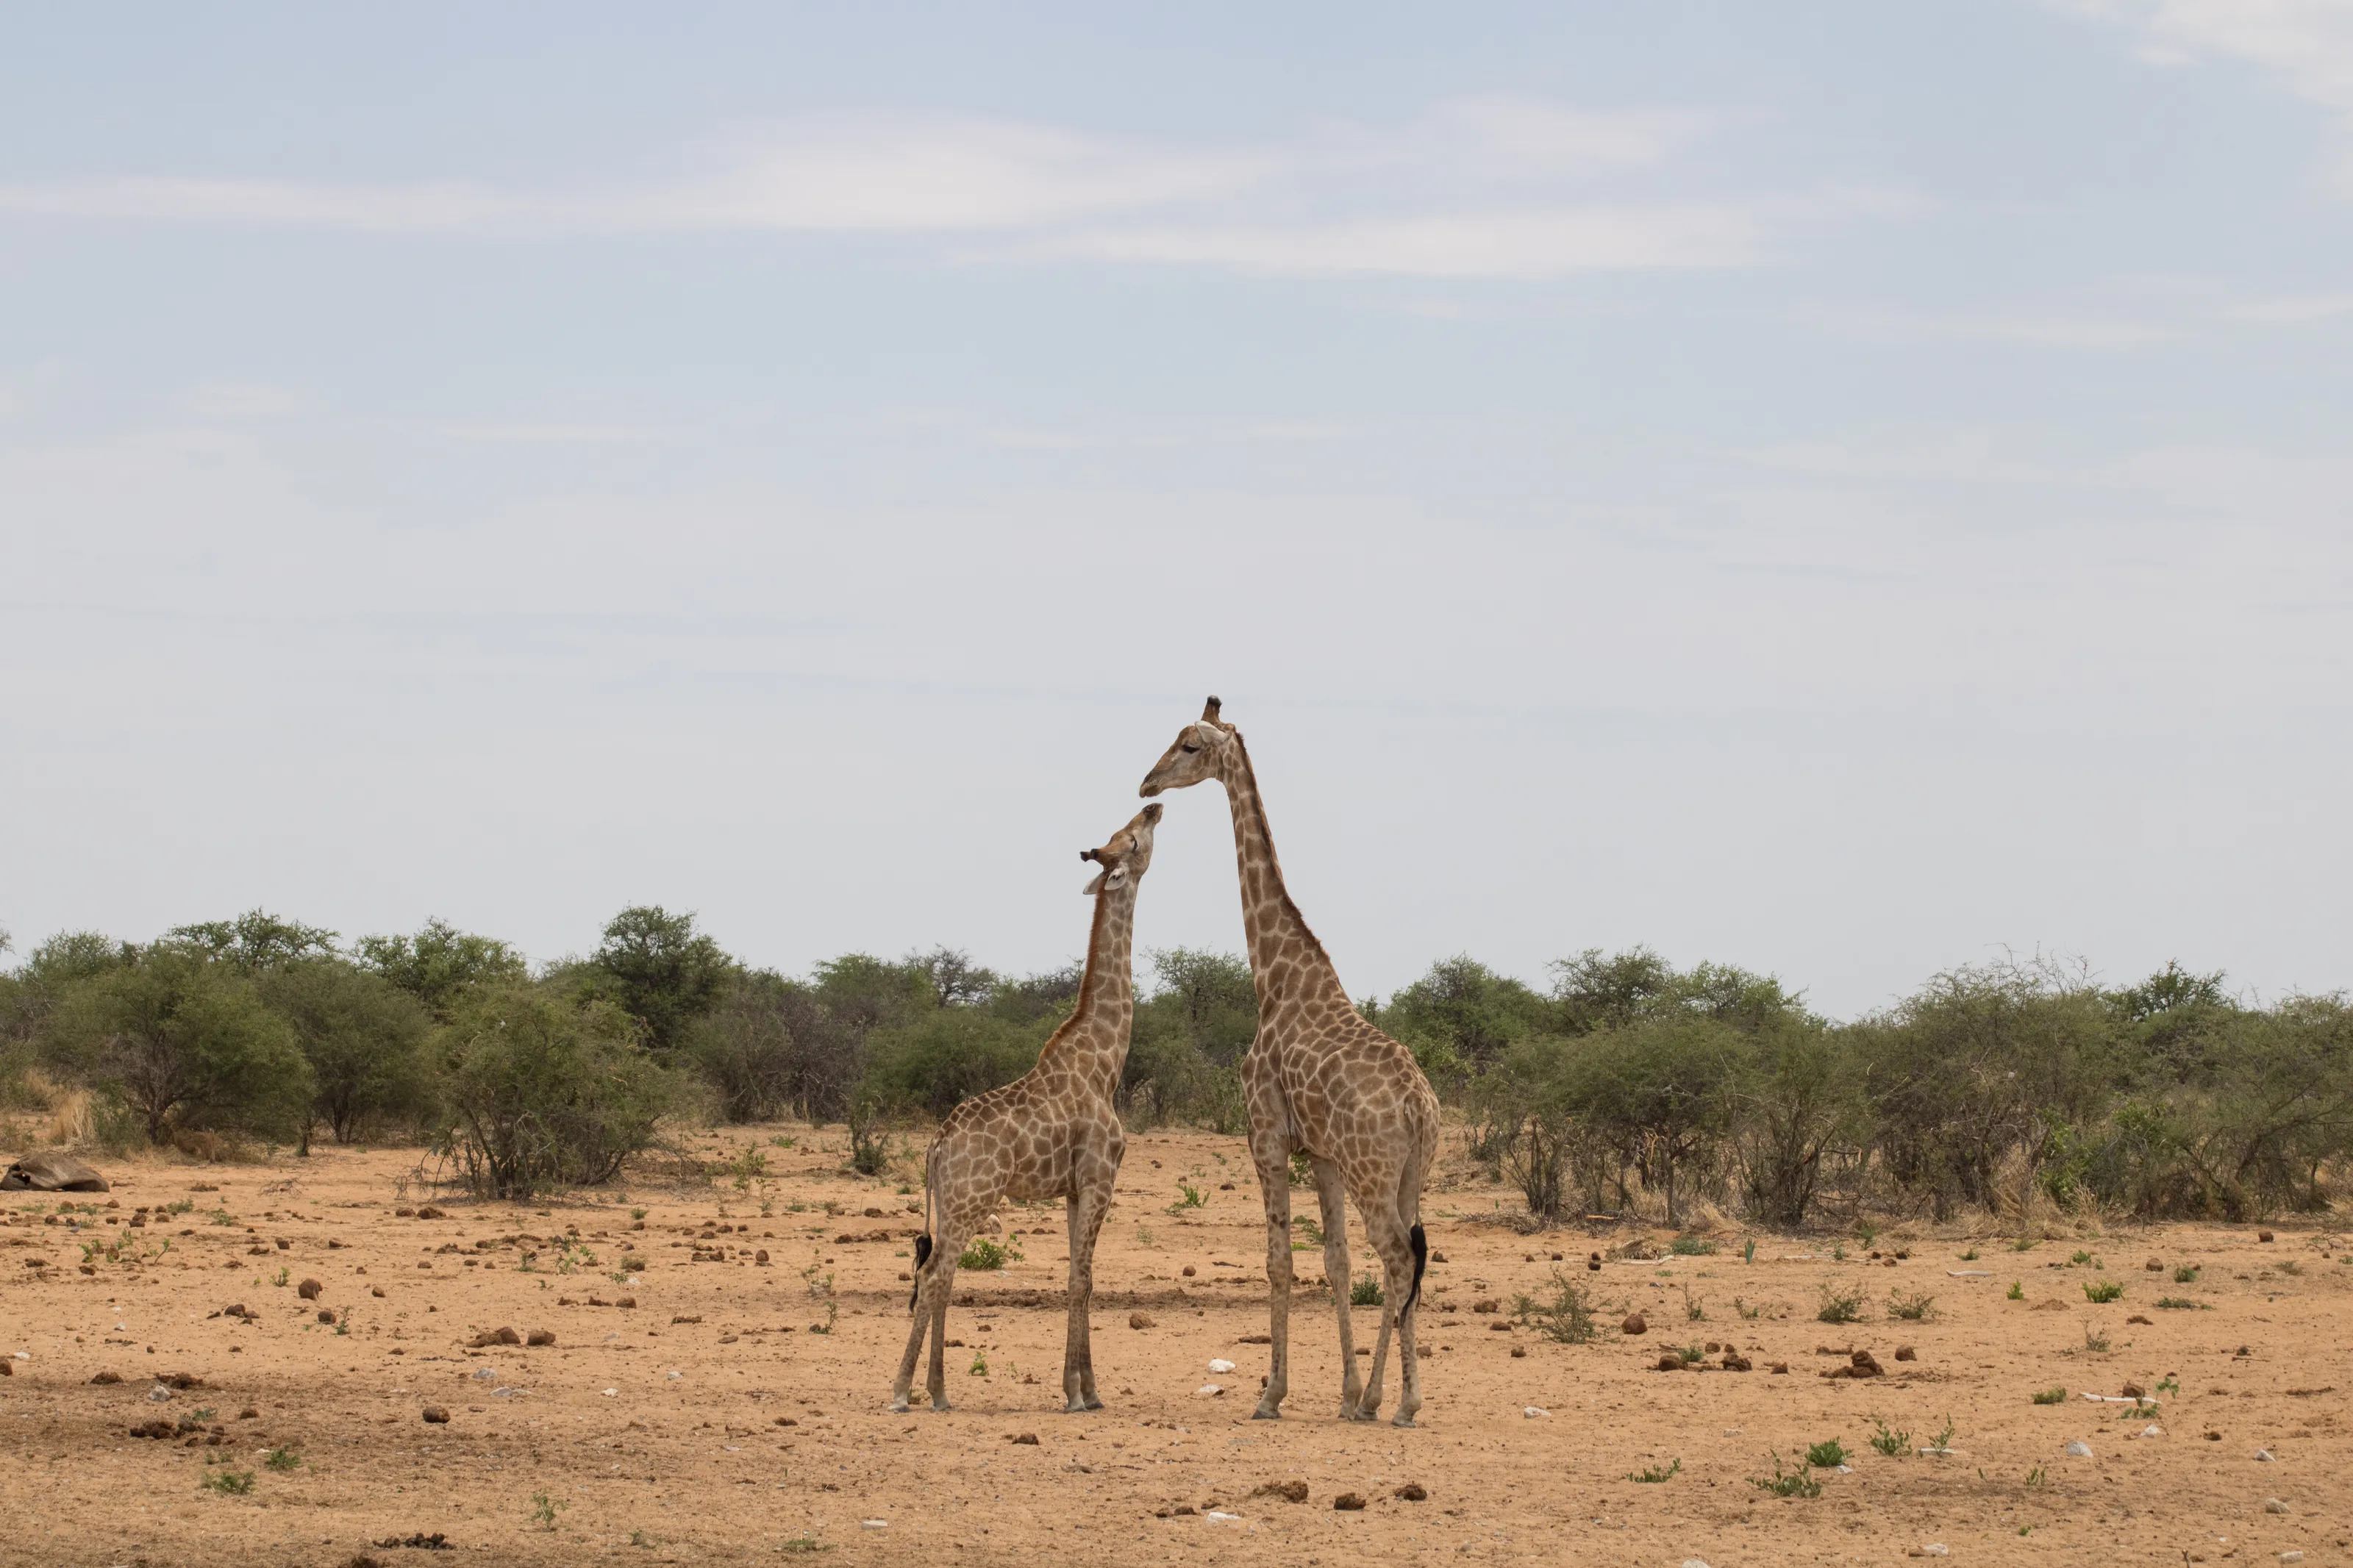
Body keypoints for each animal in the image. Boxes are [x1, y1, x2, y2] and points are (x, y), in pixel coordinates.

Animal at [891, 802, 1161, 1416]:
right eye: (1134, 839)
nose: (1155, 806)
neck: (1106, 1060)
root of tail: (936, 1144)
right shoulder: (1101, 1177)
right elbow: (1082, 1279)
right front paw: (1078, 1394)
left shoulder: (1074, 1187)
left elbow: (1080, 1275)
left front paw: (1088, 1389)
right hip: (973, 1198)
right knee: (935, 1275)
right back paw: (901, 1391)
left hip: (954, 1203)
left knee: (940, 1275)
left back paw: (939, 1391)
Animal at [1140, 698, 1440, 1426]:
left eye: (1189, 745)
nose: (1146, 783)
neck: (1273, 979)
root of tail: (1419, 1106)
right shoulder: (1323, 1154)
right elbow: (1335, 1260)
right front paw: (1343, 1389)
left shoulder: (1266, 1133)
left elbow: (1279, 1260)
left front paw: (1272, 1393)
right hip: (1411, 1172)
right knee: (1410, 1259)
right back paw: (1384, 1397)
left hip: (1372, 1171)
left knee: (1397, 1258)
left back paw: (1398, 1402)